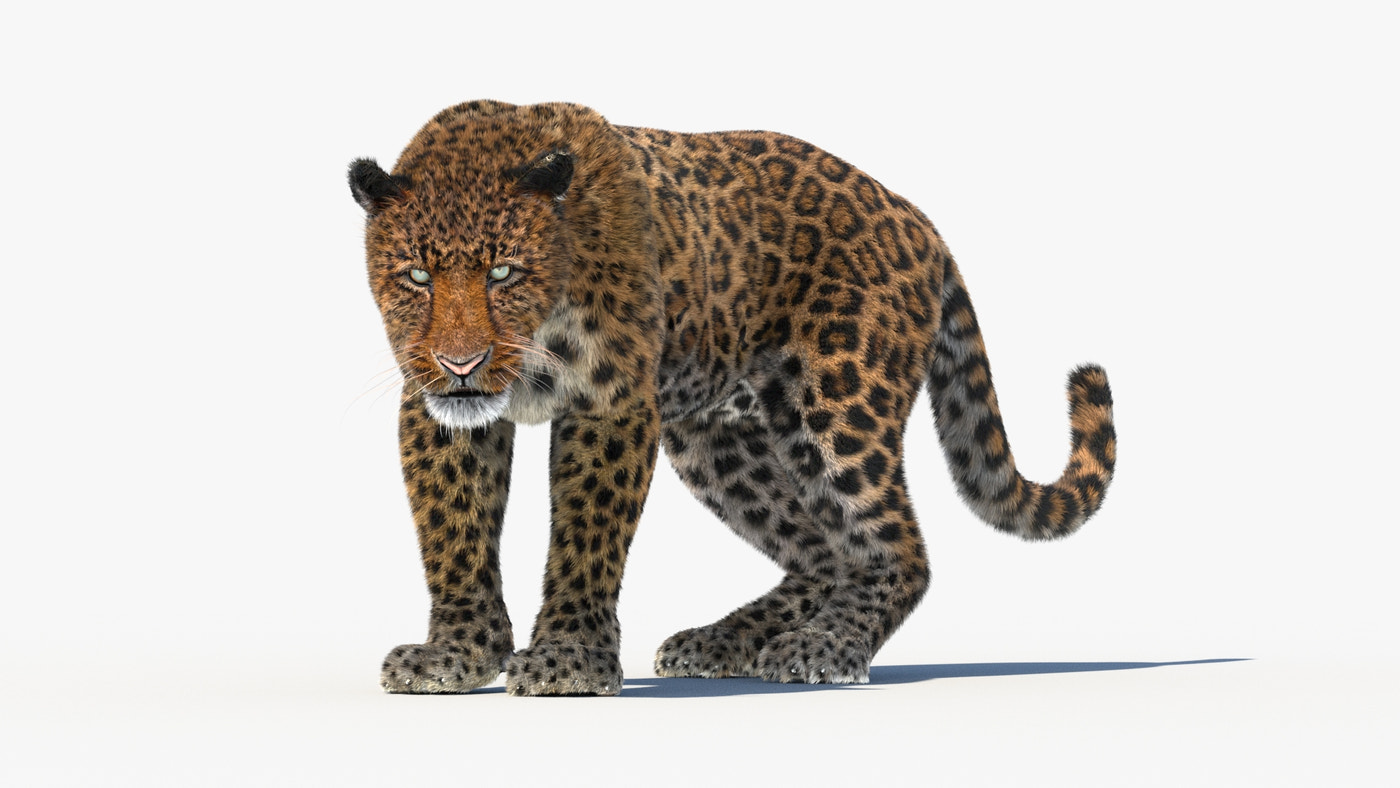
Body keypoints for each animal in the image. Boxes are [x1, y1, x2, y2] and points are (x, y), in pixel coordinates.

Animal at [349, 100, 1116, 696]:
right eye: (416, 275)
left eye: (504, 272)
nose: (461, 363)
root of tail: (918, 219)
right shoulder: (438, 412)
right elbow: (454, 528)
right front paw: (459, 653)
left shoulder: (612, 401)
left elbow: (587, 532)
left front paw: (568, 658)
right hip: (717, 445)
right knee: (821, 552)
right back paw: (722, 642)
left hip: (841, 405)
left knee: (898, 548)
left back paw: (823, 648)